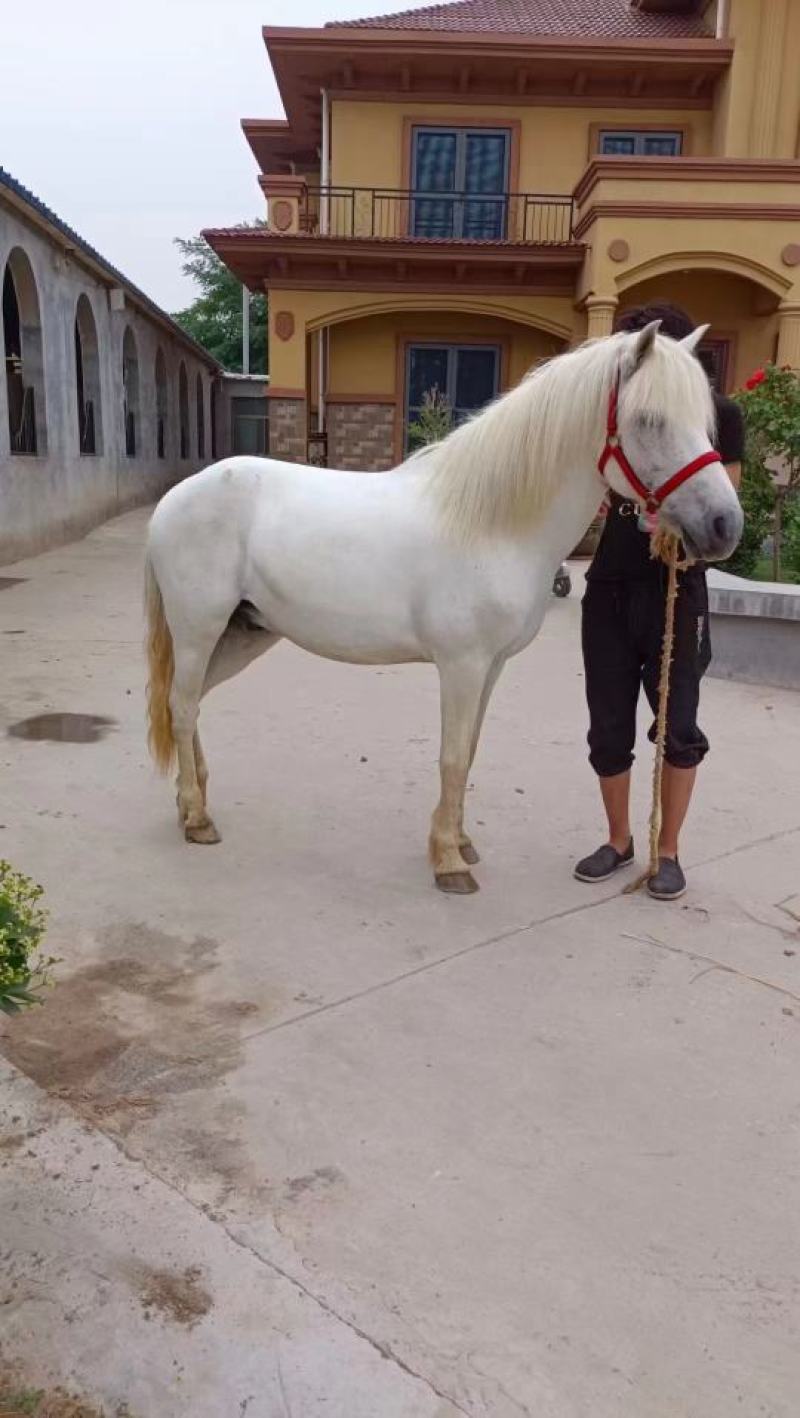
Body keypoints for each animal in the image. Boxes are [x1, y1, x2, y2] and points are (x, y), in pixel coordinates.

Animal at [144, 322, 742, 894]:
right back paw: (197, 818)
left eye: (707, 422)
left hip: (242, 633)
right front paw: (450, 863)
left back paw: (189, 801)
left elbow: (470, 751)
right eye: (650, 420)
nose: (724, 525)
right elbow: (452, 757)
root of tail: (174, 500)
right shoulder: (462, 665)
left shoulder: (491, 667)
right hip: (200, 630)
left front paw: (459, 842)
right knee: (182, 705)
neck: (492, 523)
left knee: (189, 704)